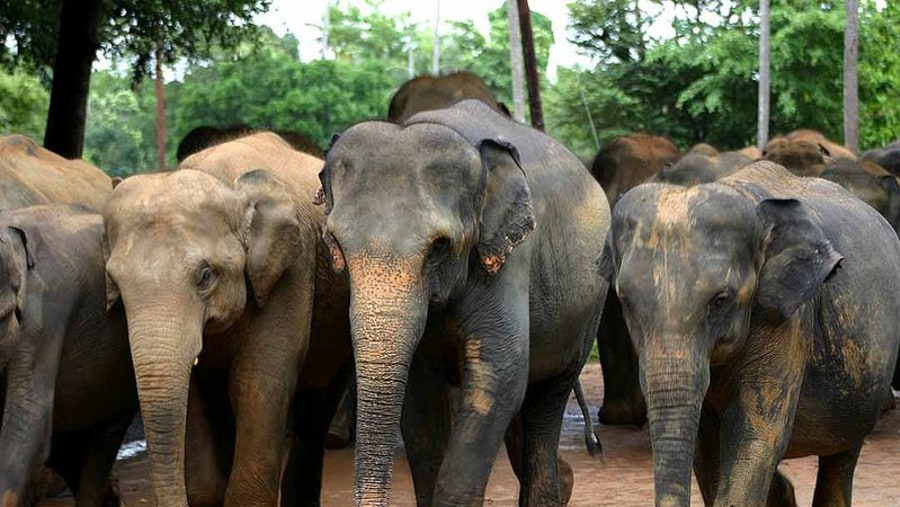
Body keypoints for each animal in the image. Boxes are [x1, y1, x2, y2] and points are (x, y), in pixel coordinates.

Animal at [101, 132, 348, 507]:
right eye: (114, 283)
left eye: (205, 276)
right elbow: (197, 392)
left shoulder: (291, 269)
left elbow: (257, 381)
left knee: (316, 403)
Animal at [316, 97, 612, 506]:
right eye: (337, 244)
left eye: (439, 247)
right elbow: (420, 397)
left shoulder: (509, 258)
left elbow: (498, 376)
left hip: (588, 309)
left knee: (546, 400)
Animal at [596, 162, 900, 507]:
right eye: (626, 301)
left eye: (720, 300)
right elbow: (707, 448)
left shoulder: (787, 319)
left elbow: (755, 435)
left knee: (841, 455)